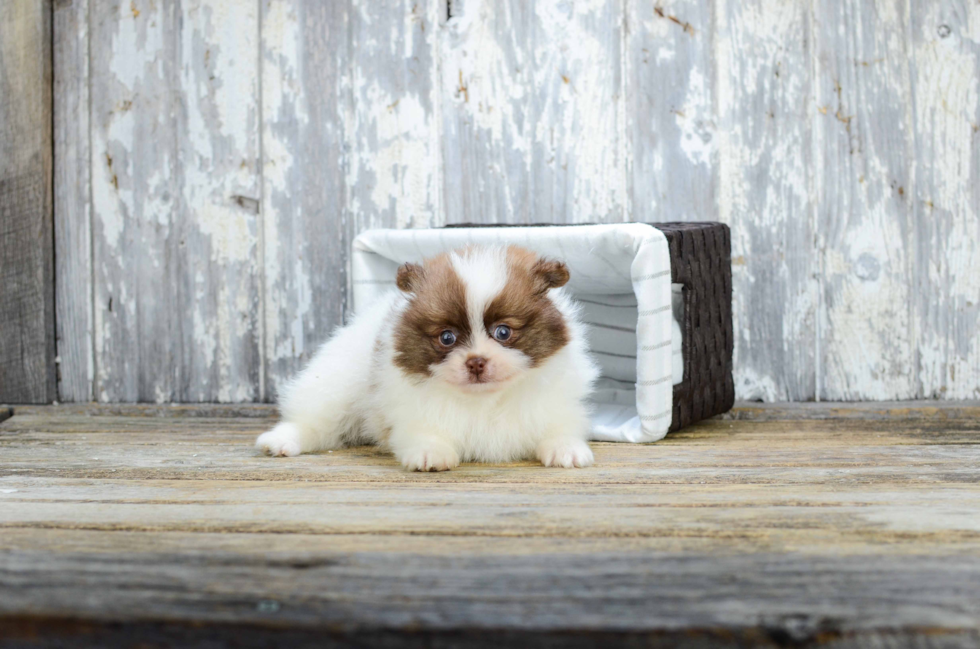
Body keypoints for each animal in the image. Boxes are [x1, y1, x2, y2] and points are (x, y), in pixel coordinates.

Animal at [255, 244, 596, 470]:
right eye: (447, 337)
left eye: (503, 332)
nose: (476, 362)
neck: (484, 400)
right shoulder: (410, 407)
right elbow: (424, 429)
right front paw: (430, 452)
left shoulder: (554, 401)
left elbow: (558, 426)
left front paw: (566, 449)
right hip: (334, 385)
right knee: (314, 422)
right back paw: (281, 442)